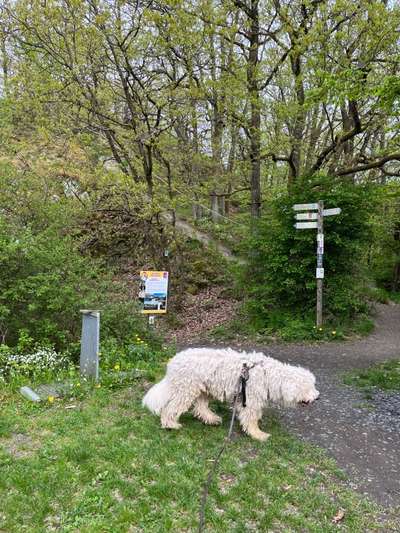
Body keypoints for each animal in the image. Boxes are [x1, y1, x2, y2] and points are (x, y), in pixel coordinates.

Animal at [142, 344, 320, 440]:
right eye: (309, 387)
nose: (318, 397)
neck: (268, 375)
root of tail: (173, 362)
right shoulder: (250, 400)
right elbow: (250, 419)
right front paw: (258, 434)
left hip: (204, 390)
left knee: (200, 407)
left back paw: (211, 419)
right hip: (186, 390)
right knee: (170, 408)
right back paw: (170, 424)